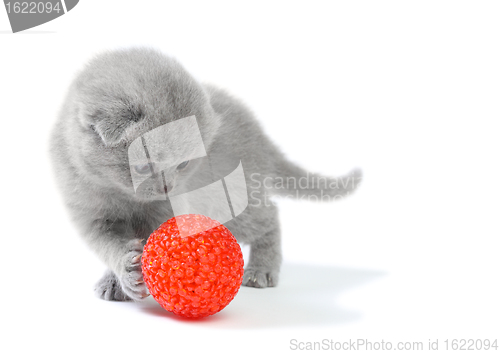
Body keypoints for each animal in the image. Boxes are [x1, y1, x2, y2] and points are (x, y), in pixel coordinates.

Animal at [50, 47, 362, 302]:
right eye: (143, 166)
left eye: (183, 164)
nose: (168, 187)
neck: (124, 196)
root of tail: (263, 141)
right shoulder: (91, 215)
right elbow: (107, 246)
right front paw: (119, 277)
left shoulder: (170, 210)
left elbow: (155, 239)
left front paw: (133, 279)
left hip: (232, 201)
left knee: (270, 216)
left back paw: (261, 270)